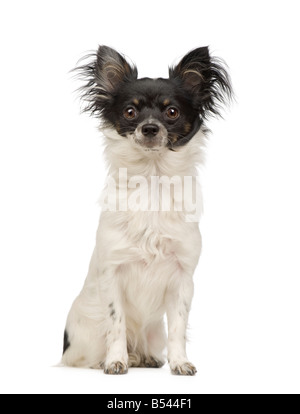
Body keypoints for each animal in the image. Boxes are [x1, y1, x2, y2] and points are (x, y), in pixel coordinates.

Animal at [61, 45, 232, 376]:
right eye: (130, 112)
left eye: (171, 112)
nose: (150, 128)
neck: (152, 178)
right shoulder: (112, 274)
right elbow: (116, 322)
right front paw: (115, 361)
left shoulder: (182, 279)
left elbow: (178, 326)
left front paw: (180, 362)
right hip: (85, 334)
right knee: (82, 355)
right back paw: (111, 359)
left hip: (153, 334)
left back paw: (145, 358)